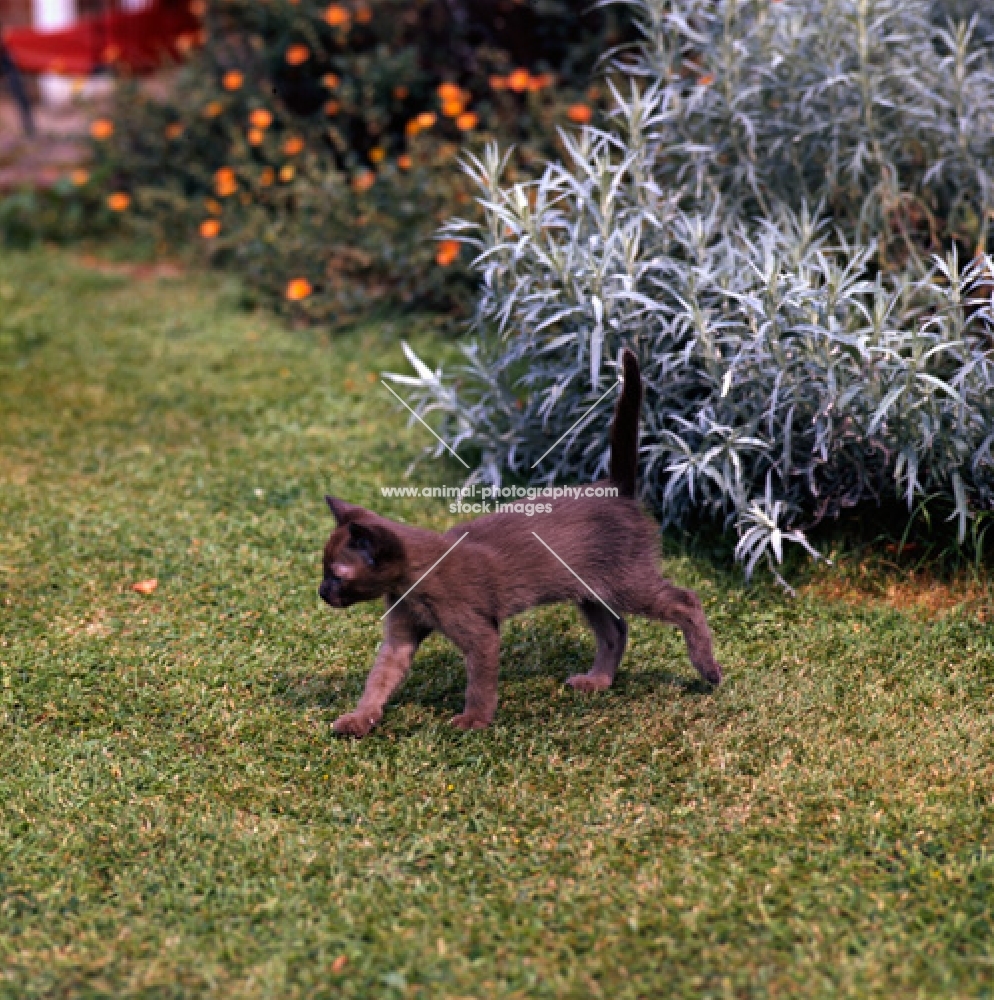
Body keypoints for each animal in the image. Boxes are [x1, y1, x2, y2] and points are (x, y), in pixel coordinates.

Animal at [320, 350, 720, 736]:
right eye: (323, 571)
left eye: (337, 574)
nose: (322, 593)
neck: (414, 581)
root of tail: (615, 489)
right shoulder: (399, 639)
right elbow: (378, 681)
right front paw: (359, 720)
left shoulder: (481, 635)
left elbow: (479, 686)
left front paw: (474, 722)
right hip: (590, 592)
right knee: (616, 631)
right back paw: (598, 682)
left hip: (627, 584)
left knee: (686, 601)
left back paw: (708, 669)